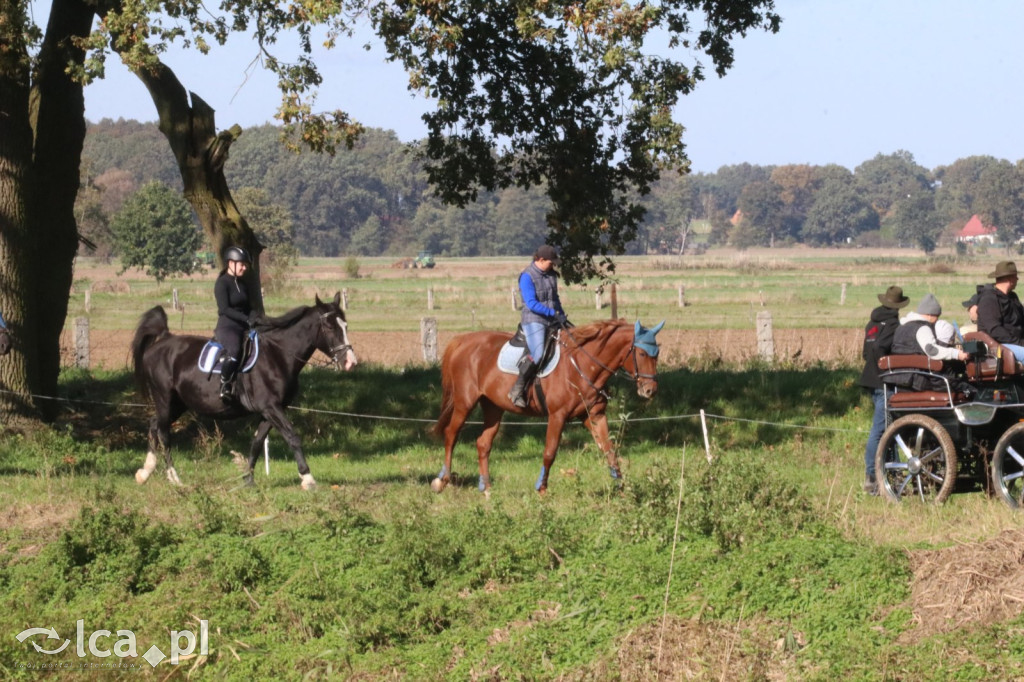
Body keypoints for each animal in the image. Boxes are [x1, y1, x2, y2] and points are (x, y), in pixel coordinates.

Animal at [130, 292, 358, 489]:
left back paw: (145, 472)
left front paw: (247, 479)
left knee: (154, 425)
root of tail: (163, 340)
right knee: (163, 432)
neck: (278, 355)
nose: (350, 363)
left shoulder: (269, 412)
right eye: (329, 327)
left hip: (179, 403)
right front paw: (308, 478)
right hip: (164, 398)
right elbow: (292, 437)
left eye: (345, 325)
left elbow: (257, 442)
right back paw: (174, 477)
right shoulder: (271, 408)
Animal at [425, 315, 659, 491]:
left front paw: (622, 487)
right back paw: (442, 479)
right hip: (465, 402)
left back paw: (486, 487)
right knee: (451, 434)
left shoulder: (593, 416)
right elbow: (550, 452)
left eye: (657, 354)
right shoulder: (558, 416)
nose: (650, 390)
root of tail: (463, 340)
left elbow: (610, 450)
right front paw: (542, 488)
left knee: (483, 443)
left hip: (493, 407)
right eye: (641, 353)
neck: (583, 365)